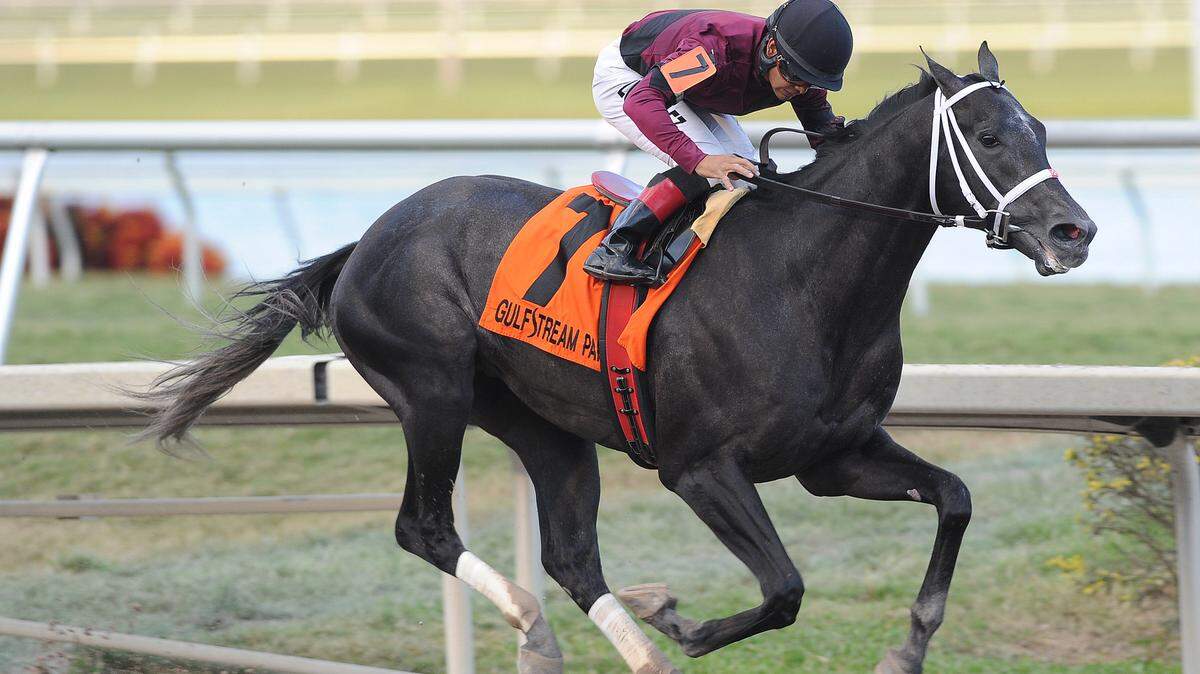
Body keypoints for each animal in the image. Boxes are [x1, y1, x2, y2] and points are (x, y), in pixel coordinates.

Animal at [140, 44, 1095, 674]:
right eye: (987, 136)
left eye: (1043, 129)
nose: (1073, 232)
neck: (803, 281)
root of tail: (369, 238)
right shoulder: (700, 468)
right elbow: (784, 588)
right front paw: (682, 621)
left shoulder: (835, 457)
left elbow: (956, 498)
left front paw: (907, 646)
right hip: (432, 392)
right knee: (426, 528)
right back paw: (550, 626)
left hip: (545, 427)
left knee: (571, 559)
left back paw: (622, 640)